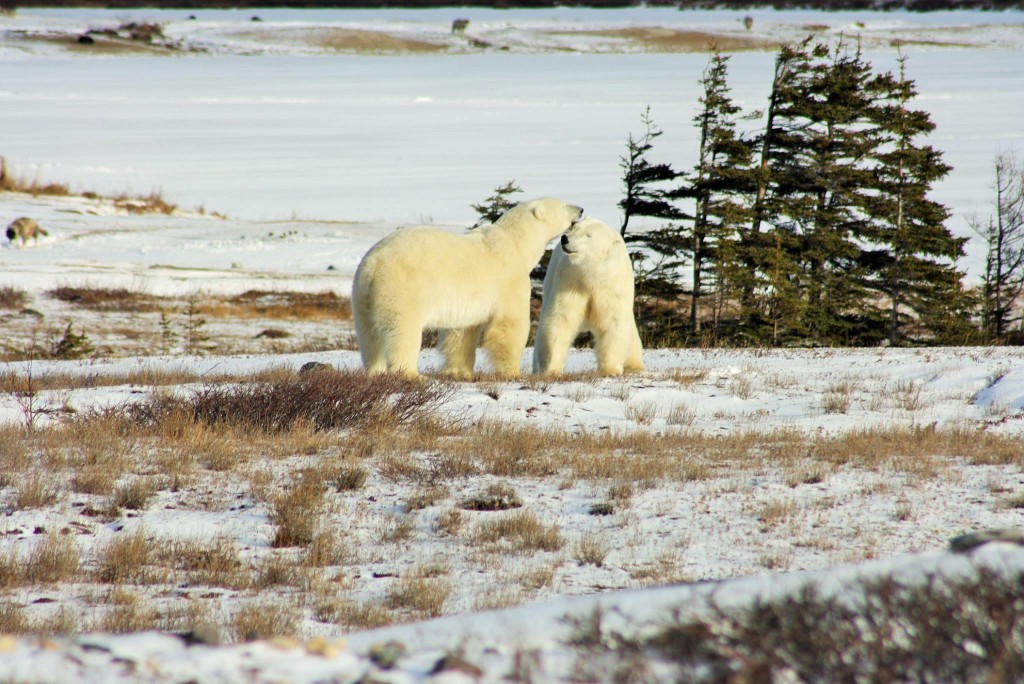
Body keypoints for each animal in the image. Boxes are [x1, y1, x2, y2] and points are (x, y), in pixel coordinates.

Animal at [352, 197, 583, 379]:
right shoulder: (508, 280)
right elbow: (509, 325)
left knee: (369, 335)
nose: (581, 209)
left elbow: (463, 332)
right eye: (563, 204)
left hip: (363, 295)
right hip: (401, 289)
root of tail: (374, 264)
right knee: (402, 331)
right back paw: (411, 374)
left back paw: (375, 371)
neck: (516, 243)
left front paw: (461, 371)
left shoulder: (469, 299)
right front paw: (513, 372)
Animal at [533, 217, 645, 376]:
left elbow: (613, 322)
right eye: (575, 226)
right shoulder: (570, 280)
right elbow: (561, 319)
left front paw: (610, 370)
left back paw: (635, 366)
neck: (591, 277)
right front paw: (551, 370)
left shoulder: (612, 287)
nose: (565, 238)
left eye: (589, 235)